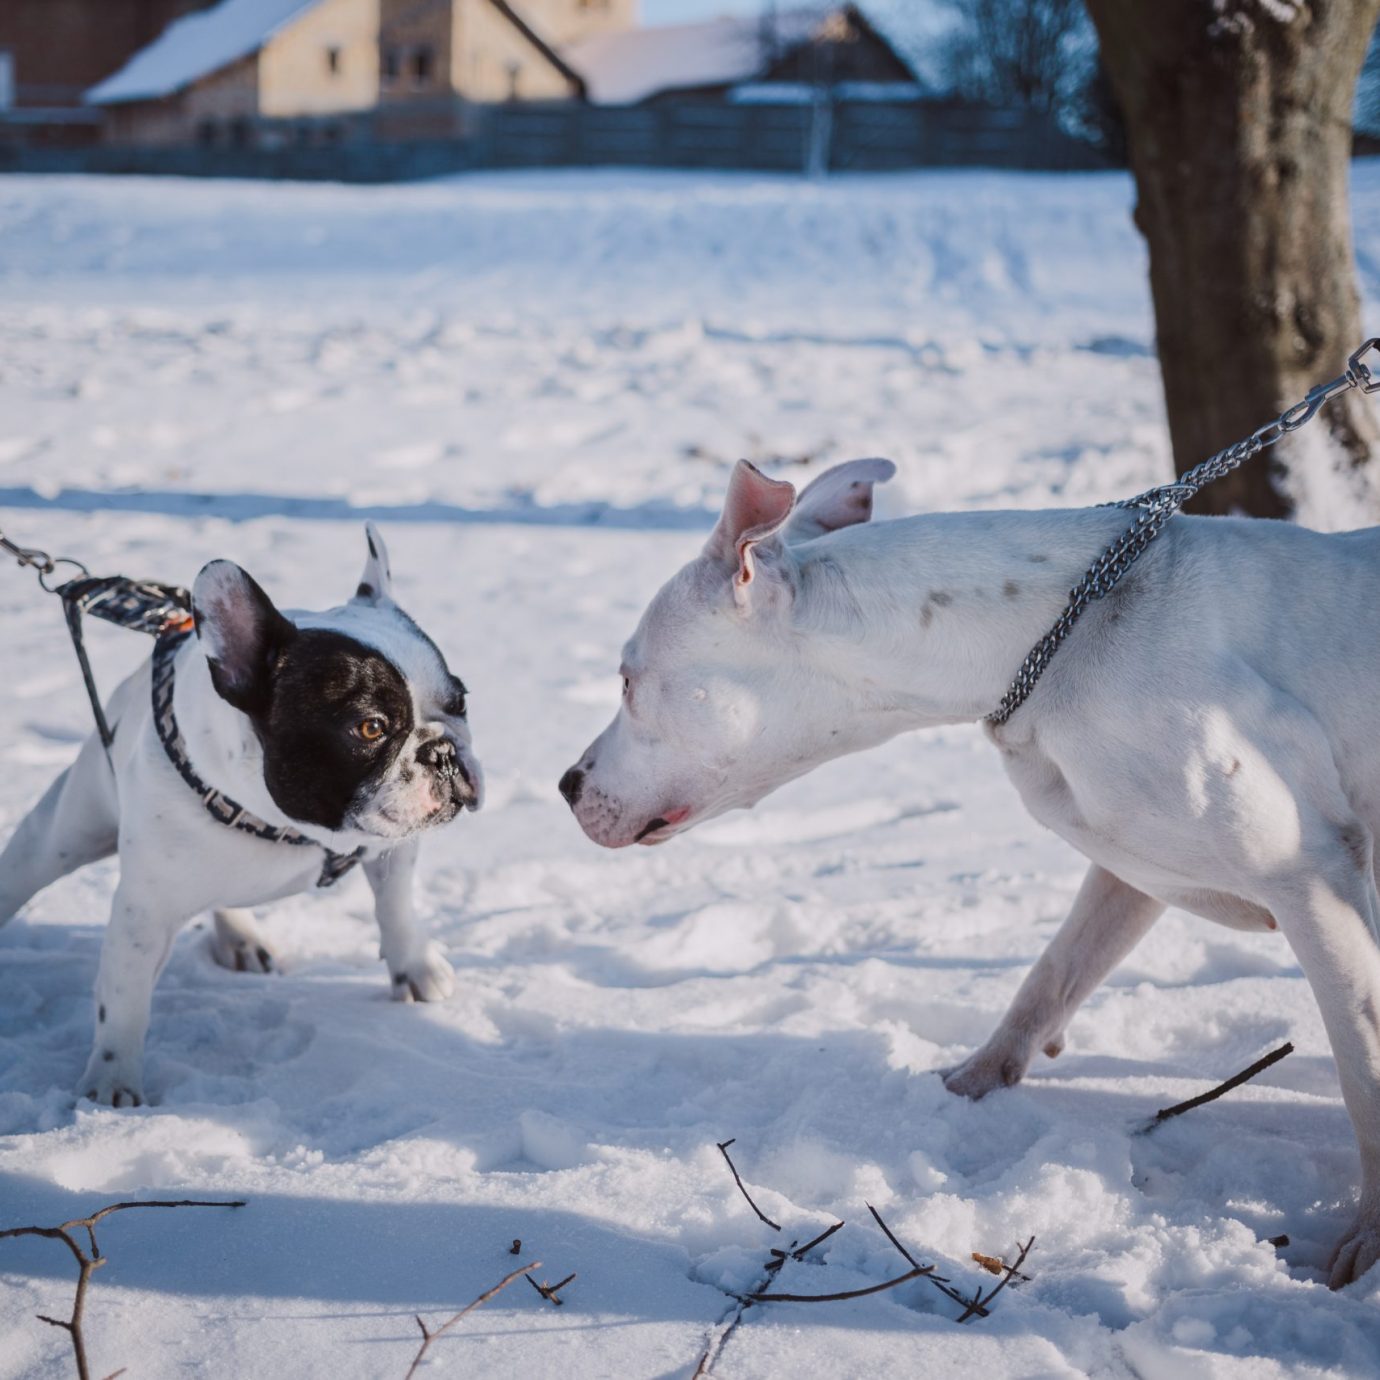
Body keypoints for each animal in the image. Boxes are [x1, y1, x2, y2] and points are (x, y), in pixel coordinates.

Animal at [0, 524, 483, 1109]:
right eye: (370, 727)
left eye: (460, 702)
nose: (443, 752)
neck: (289, 825)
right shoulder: (144, 911)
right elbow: (125, 999)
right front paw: (112, 1086)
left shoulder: (395, 845)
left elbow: (396, 908)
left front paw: (415, 969)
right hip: (64, 833)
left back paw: (240, 938)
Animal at [557, 458, 1380, 1286]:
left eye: (627, 680)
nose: (565, 784)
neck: (1059, 637)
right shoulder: (1126, 868)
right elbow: (1052, 974)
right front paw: (970, 1086)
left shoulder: (1311, 881)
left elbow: (1363, 1069)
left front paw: (1368, 1242)